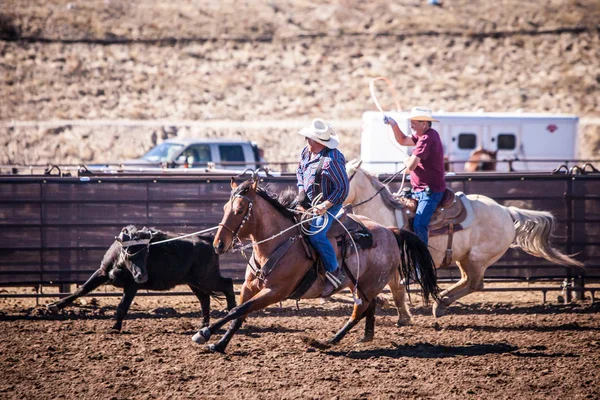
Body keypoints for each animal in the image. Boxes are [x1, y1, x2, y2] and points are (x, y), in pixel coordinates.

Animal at [193, 177, 440, 352]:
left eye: (240, 210)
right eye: (225, 208)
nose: (218, 244)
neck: (277, 243)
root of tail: (390, 231)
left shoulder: (275, 291)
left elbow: (239, 310)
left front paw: (204, 334)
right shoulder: (248, 287)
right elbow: (238, 314)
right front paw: (219, 344)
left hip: (369, 285)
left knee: (359, 311)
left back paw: (331, 340)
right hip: (360, 285)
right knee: (369, 307)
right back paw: (365, 337)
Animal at [344, 159, 584, 324]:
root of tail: (506, 211)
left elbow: (395, 289)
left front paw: (403, 317)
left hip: (478, 258)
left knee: (476, 283)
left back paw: (441, 304)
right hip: (465, 258)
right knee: (468, 281)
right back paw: (441, 302)